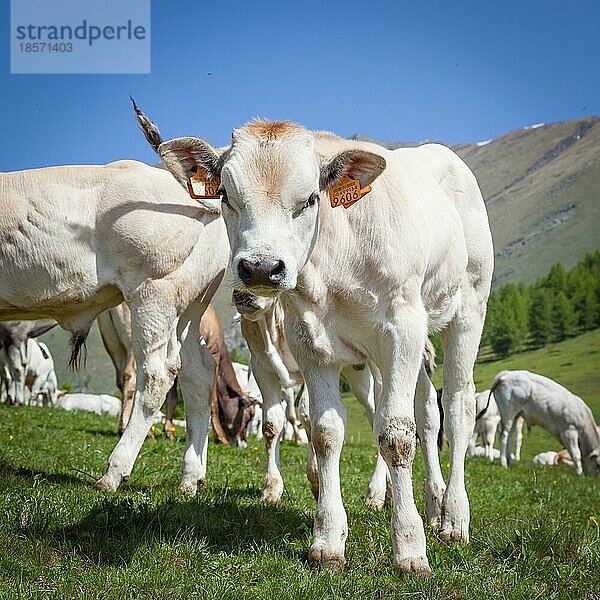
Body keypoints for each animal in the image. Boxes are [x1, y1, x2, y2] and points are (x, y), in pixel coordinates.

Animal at [0, 158, 230, 492]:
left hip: (154, 293)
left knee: (157, 375)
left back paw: (114, 472)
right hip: (188, 309)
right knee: (198, 373)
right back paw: (190, 478)